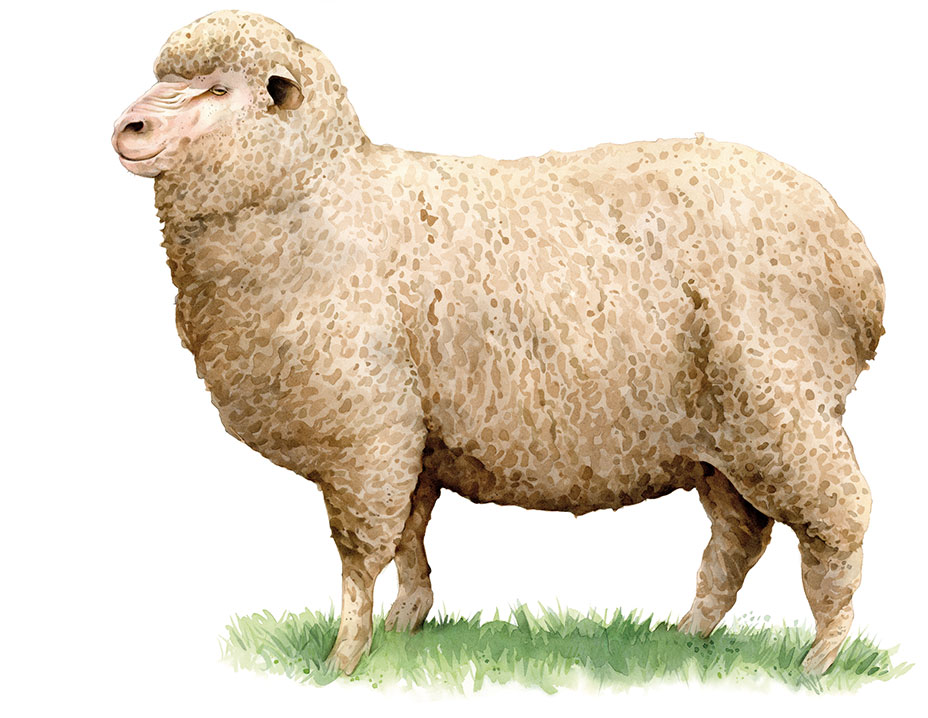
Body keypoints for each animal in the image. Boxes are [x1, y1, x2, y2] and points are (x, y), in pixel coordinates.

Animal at [112, 10, 885, 676]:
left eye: (219, 89)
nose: (129, 126)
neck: (320, 194)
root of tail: (855, 256)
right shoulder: (413, 434)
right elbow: (410, 536)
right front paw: (407, 622)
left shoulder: (367, 432)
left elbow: (360, 555)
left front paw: (343, 660)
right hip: (721, 437)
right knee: (740, 535)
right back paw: (687, 633)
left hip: (782, 406)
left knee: (840, 516)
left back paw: (822, 655)